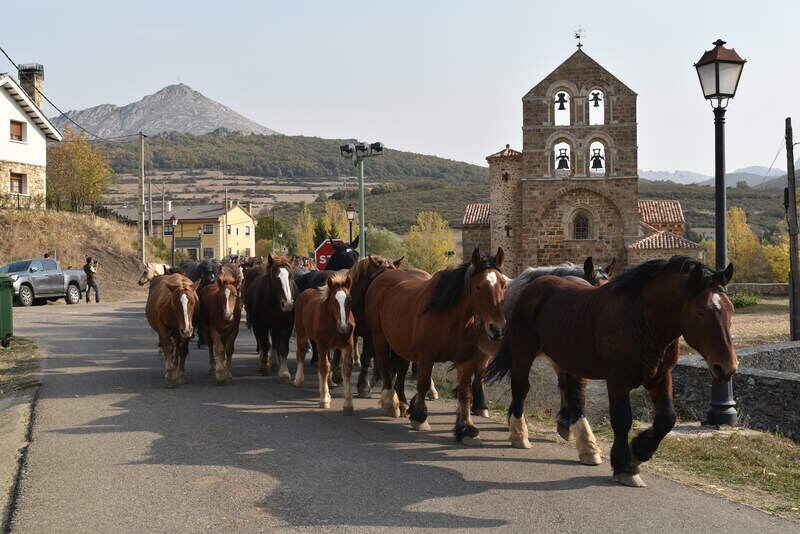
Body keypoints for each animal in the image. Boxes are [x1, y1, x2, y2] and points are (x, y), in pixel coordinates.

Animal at [294, 272, 356, 414]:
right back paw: (298, 379)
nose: (344, 327)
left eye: (349, 300)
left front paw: (348, 404)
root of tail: (305, 292)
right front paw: (324, 400)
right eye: (333, 301)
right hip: (302, 333)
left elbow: (346, 368)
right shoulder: (321, 344)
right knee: (301, 353)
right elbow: (324, 367)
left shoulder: (347, 345)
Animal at [364, 249, 506, 446]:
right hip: (379, 337)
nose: (497, 329)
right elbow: (423, 383)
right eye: (478, 287)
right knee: (384, 365)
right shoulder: (426, 356)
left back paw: (403, 403)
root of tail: (384, 275)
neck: (451, 317)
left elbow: (465, 393)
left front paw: (466, 428)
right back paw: (391, 402)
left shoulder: (466, 360)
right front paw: (420, 417)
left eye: (503, 285)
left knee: (400, 370)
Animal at [482, 258, 736, 488]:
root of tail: (535, 285)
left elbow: (667, 419)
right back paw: (519, 434)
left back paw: (586, 447)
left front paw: (639, 450)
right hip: (524, 352)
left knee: (573, 395)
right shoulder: (617, 380)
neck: (641, 320)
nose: (727, 367)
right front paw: (626, 467)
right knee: (521, 388)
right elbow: (622, 420)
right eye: (700, 312)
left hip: (568, 359)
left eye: (730, 310)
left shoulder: (661, 377)